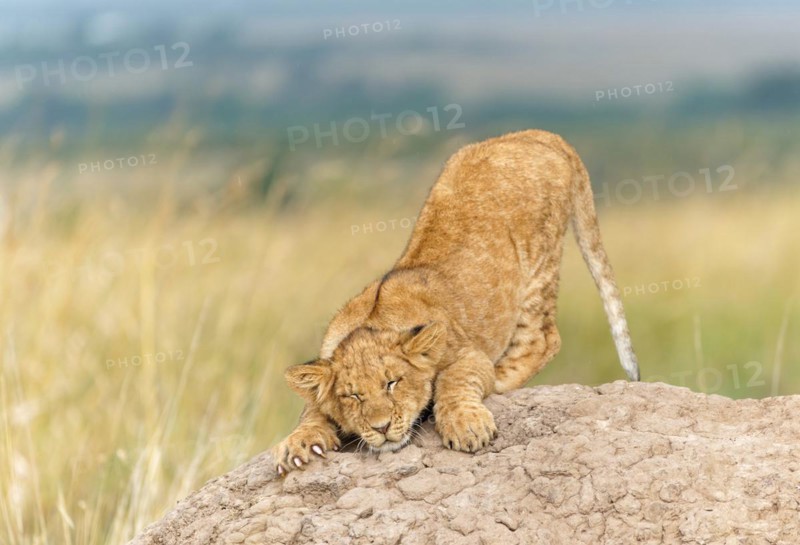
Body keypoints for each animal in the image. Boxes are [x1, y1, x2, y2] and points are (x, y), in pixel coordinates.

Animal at [273, 129, 639, 475]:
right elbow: (310, 410)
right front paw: (298, 444)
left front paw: (466, 425)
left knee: (543, 340)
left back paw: (498, 379)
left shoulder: (466, 353)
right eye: (353, 395)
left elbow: (454, 380)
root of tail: (536, 135)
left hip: (538, 267)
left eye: (392, 383)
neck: (372, 322)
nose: (382, 427)